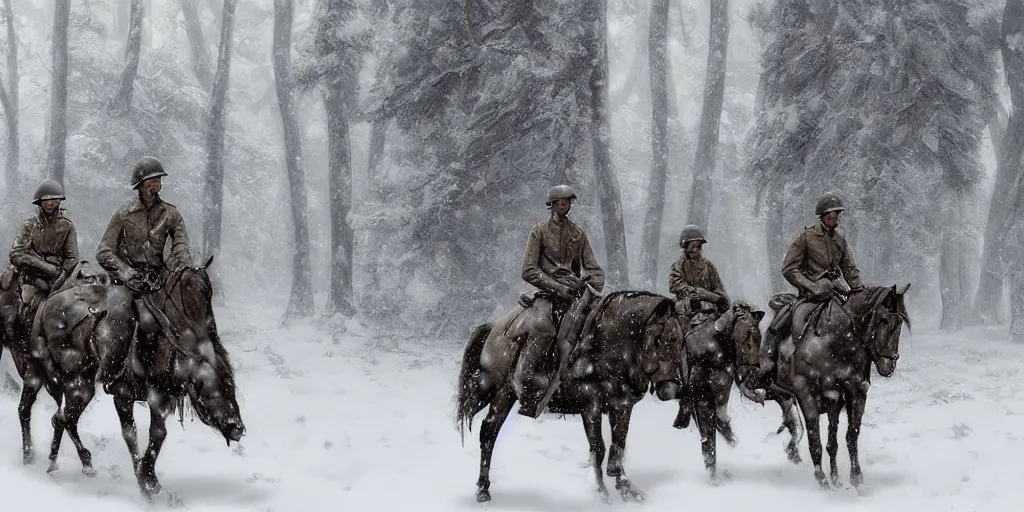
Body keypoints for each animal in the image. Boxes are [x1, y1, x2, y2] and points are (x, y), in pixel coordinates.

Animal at [34, 258, 245, 497]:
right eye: (213, 391)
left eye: (231, 387)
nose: (238, 428)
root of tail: (50, 302)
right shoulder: (125, 394)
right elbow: (136, 433)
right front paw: (147, 480)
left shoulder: (161, 397)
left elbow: (155, 434)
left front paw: (145, 476)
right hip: (78, 383)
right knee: (63, 417)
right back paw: (62, 464)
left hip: (82, 386)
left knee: (63, 417)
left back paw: (72, 463)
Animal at [456, 292, 688, 503]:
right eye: (659, 339)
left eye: (680, 341)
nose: (671, 389)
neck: (607, 343)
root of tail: (494, 326)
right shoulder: (590, 407)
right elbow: (598, 448)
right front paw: (602, 493)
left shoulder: (622, 406)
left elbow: (619, 445)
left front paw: (626, 488)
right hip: (503, 393)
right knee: (489, 432)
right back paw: (482, 490)